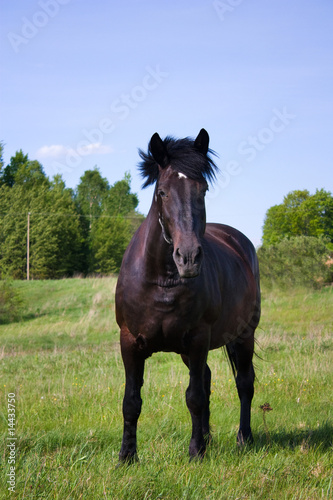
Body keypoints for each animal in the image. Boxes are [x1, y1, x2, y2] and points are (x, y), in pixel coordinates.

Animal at [115, 128, 260, 460]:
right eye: (162, 192)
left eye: (202, 190)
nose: (189, 257)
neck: (161, 281)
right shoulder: (129, 342)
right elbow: (131, 402)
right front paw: (127, 457)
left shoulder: (197, 339)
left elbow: (194, 397)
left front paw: (195, 452)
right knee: (206, 378)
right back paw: (208, 436)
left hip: (244, 334)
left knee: (244, 384)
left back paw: (243, 438)